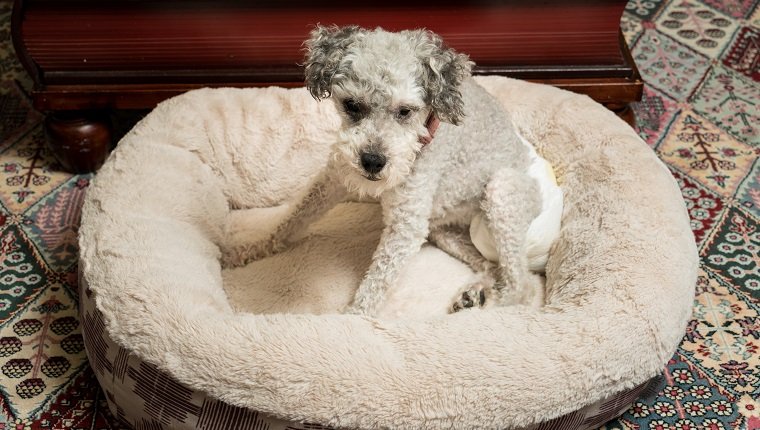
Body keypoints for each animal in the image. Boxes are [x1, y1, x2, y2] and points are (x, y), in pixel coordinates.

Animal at [223, 26, 560, 316]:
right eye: (351, 105)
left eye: (405, 111)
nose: (372, 161)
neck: (424, 136)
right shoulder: (334, 178)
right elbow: (290, 221)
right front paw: (245, 250)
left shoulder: (407, 223)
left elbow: (375, 283)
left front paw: (349, 322)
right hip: (444, 231)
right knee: (494, 267)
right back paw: (475, 294)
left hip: (502, 193)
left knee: (523, 285)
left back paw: (490, 301)